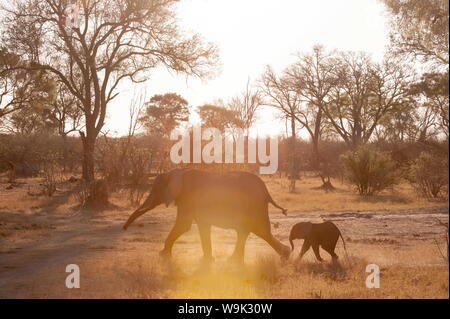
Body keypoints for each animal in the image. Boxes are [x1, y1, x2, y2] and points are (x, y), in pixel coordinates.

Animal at [122, 169, 292, 264]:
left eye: (156, 190)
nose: (124, 229)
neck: (175, 172)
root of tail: (266, 191)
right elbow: (202, 226)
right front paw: (207, 260)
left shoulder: (188, 198)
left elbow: (183, 225)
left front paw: (163, 256)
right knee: (258, 231)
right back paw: (285, 255)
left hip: (252, 206)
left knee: (256, 230)